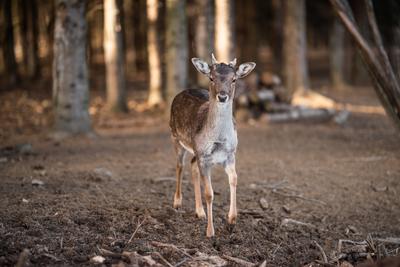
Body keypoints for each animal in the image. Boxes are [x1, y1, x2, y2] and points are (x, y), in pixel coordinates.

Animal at [170, 53, 256, 238]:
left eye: (234, 79)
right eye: (211, 77)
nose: (222, 97)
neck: (219, 139)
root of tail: (182, 91)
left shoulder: (230, 155)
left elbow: (234, 180)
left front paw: (231, 220)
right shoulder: (204, 158)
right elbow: (209, 193)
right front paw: (210, 231)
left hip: (195, 150)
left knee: (192, 165)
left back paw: (200, 212)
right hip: (175, 137)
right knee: (179, 165)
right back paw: (177, 202)